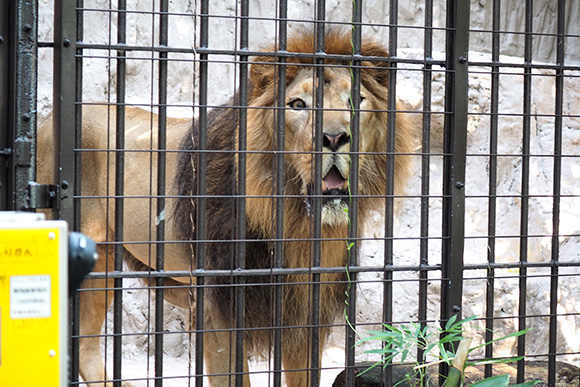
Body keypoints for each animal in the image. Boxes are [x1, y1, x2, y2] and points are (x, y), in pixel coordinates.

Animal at [36, 28, 414, 386]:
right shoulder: (216, 310)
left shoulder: (306, 312)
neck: (297, 226)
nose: (334, 138)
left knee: (85, 345)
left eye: (356, 101)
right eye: (297, 104)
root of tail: (48, 119)